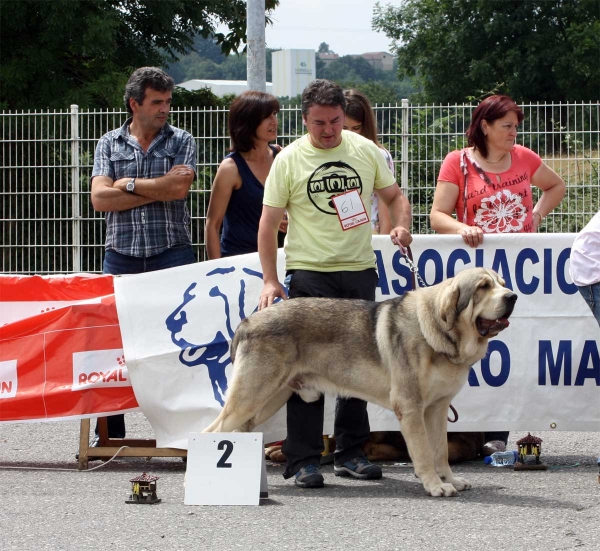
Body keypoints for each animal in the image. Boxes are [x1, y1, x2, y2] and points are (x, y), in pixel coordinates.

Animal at [205, 270, 516, 498]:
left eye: (501, 284)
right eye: (483, 287)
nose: (512, 296)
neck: (439, 333)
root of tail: (246, 322)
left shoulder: (437, 410)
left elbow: (441, 452)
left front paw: (449, 479)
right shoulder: (411, 409)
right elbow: (425, 453)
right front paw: (435, 485)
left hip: (269, 399)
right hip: (250, 398)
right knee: (213, 432)